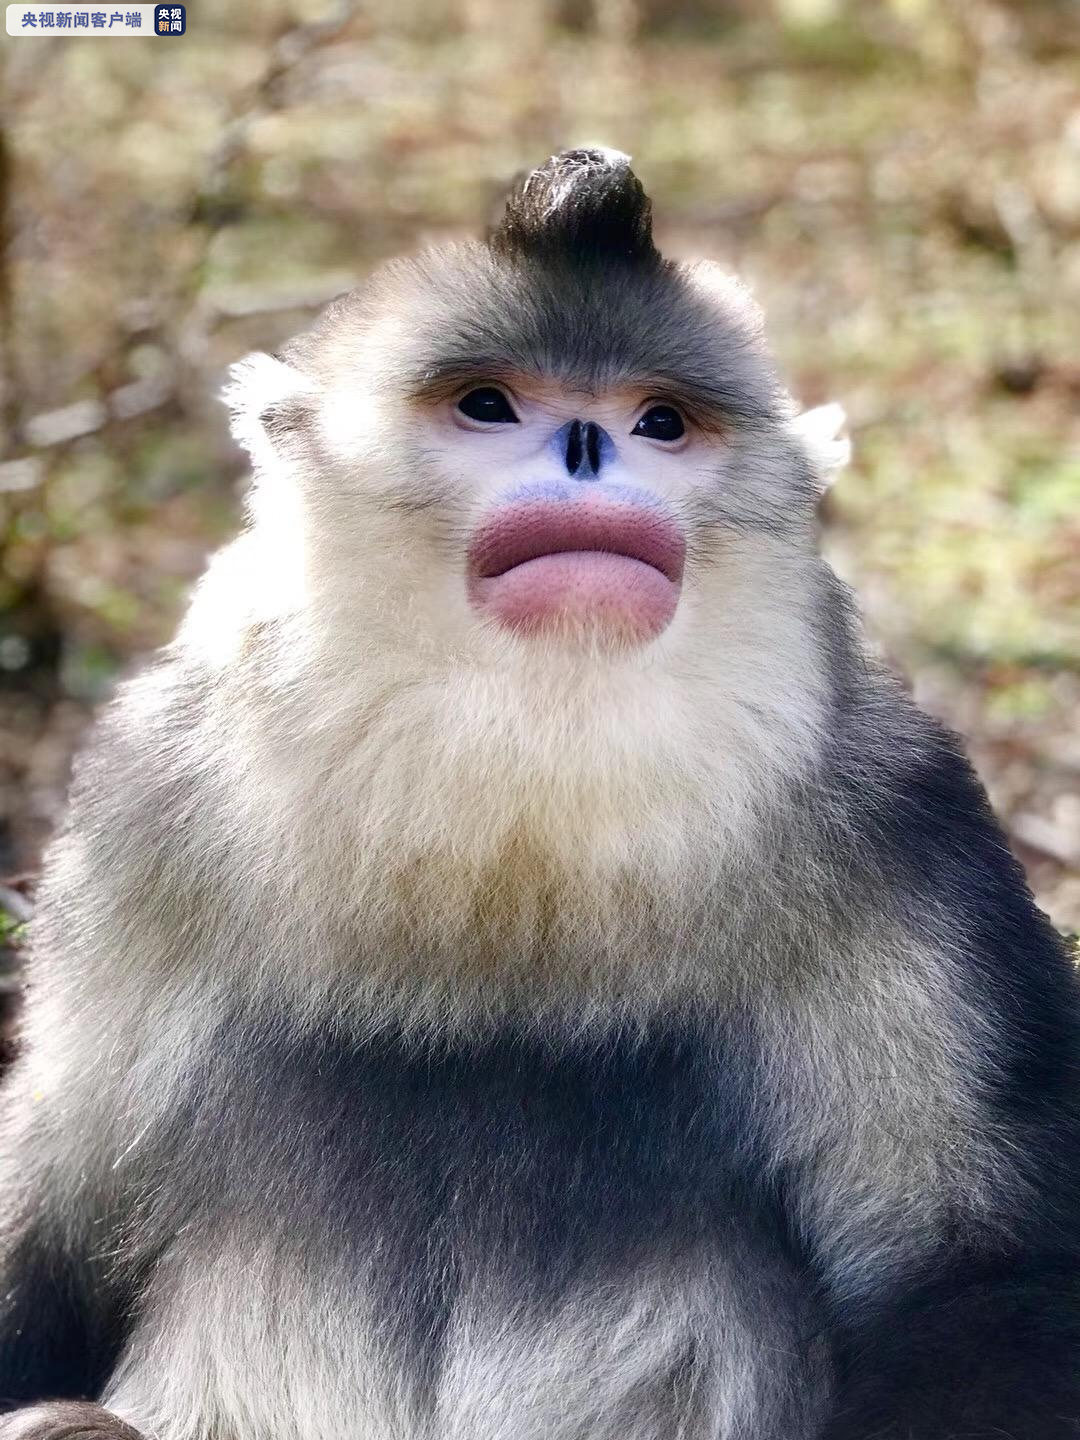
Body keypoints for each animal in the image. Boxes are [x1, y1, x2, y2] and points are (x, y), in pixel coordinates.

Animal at [0, 145, 1078, 1440]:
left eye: (660, 423)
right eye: (488, 405)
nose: (584, 451)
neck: (519, 832)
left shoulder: (905, 825)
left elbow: (986, 1273)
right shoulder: (146, 806)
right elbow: (53, 1243)